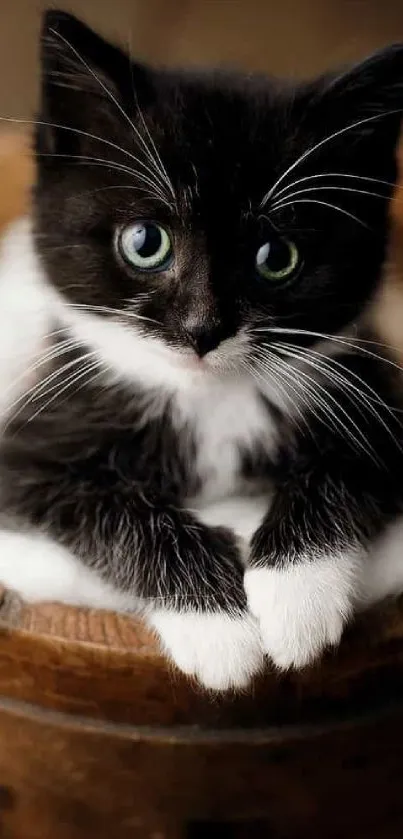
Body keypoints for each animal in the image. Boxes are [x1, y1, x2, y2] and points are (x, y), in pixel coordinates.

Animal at [0, 8, 403, 688]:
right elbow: (103, 503)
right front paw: (216, 626)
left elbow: (346, 467)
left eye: (277, 257)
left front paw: (297, 594)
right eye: (145, 242)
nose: (202, 328)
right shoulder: (28, 445)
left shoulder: (376, 392)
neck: (210, 399)